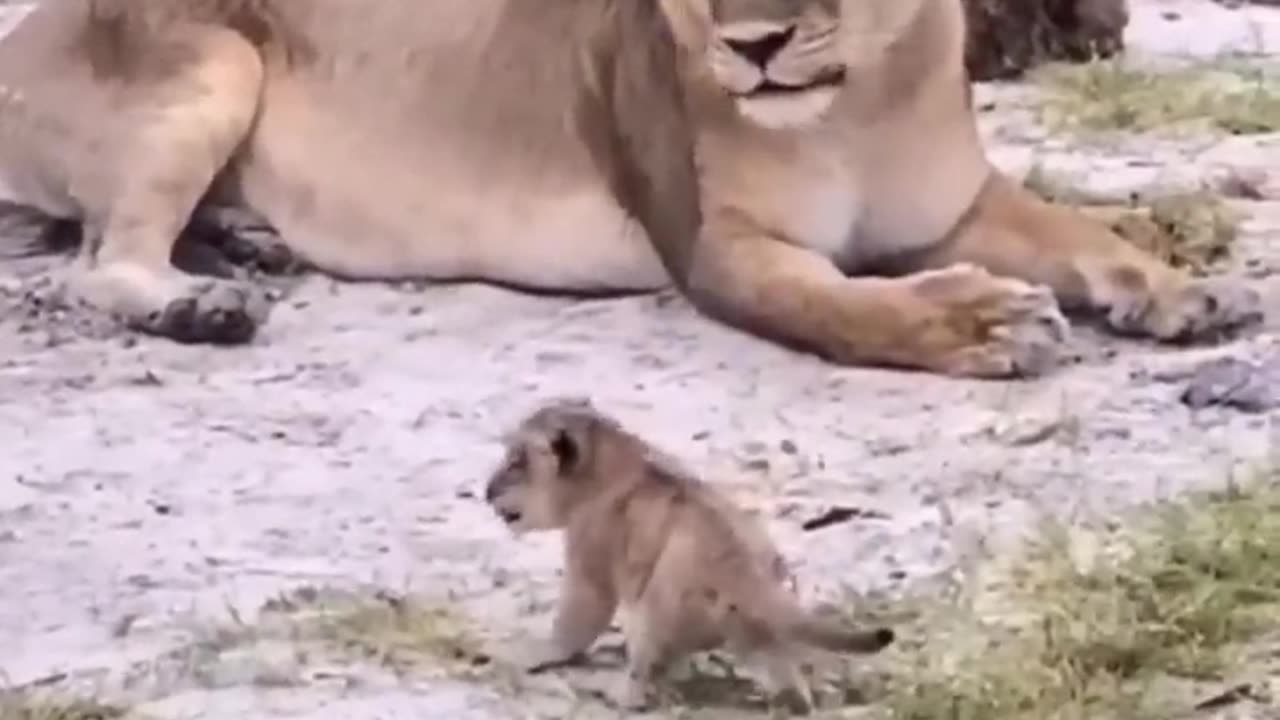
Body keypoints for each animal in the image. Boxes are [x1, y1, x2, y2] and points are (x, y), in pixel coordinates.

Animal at [0, 1, 1259, 376]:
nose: (754, 45)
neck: (851, 102)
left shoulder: (953, 210)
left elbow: (1080, 229)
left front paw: (1178, 290)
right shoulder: (716, 251)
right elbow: (847, 309)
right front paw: (982, 322)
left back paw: (250, 245)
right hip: (217, 60)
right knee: (97, 264)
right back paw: (199, 303)